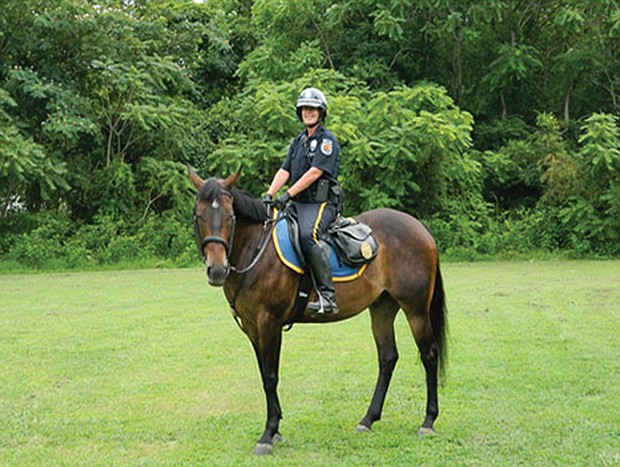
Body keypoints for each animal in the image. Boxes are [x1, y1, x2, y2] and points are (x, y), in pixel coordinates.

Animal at [189, 169, 446, 458]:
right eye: (198, 216)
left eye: (230, 217)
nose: (217, 270)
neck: (255, 249)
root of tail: (420, 228)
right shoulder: (252, 327)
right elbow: (265, 374)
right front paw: (275, 428)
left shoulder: (269, 323)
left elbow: (271, 377)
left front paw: (268, 434)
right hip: (382, 309)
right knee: (388, 358)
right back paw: (368, 419)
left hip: (416, 310)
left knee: (429, 355)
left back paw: (428, 421)